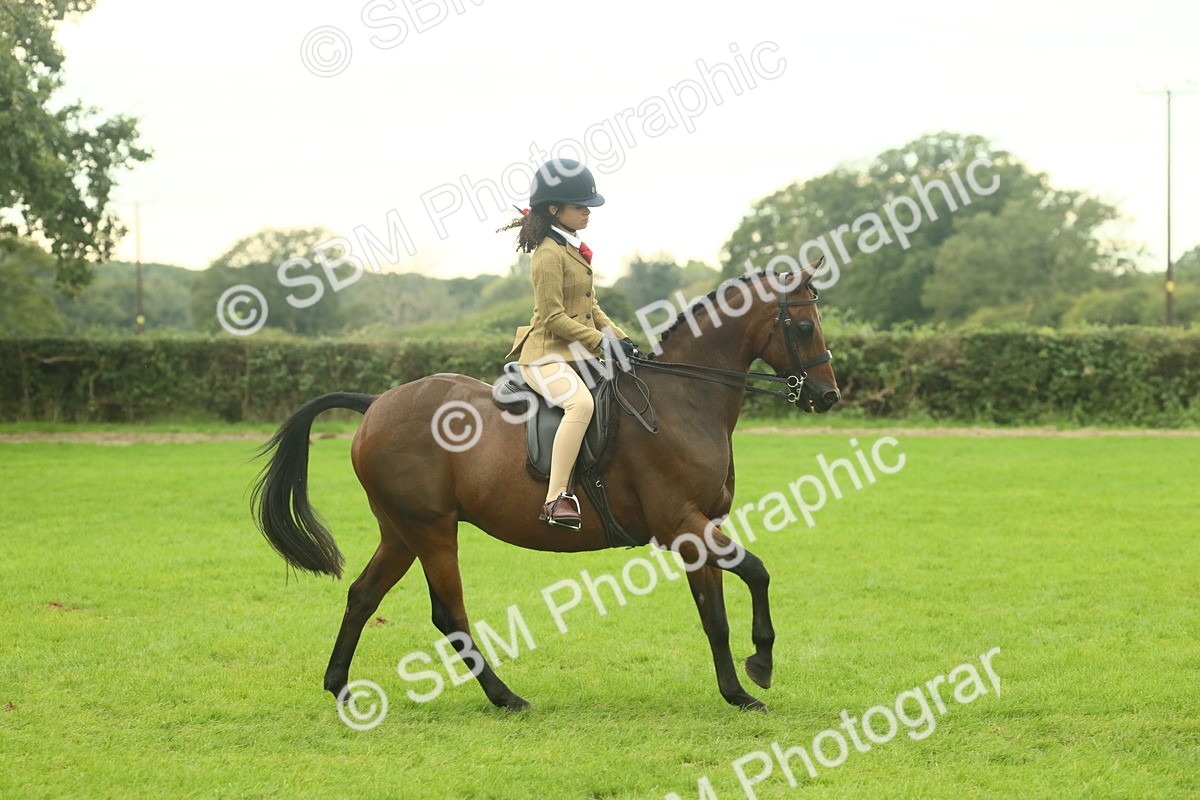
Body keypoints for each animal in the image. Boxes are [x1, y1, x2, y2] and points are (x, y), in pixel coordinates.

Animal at [252, 263, 840, 713]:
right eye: (803, 328)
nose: (828, 396)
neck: (683, 398)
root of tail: (374, 403)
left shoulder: (701, 528)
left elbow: (713, 615)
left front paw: (737, 693)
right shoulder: (681, 524)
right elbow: (757, 572)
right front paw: (761, 663)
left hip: (400, 531)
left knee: (362, 595)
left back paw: (341, 689)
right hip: (432, 529)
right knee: (449, 614)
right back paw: (505, 697)